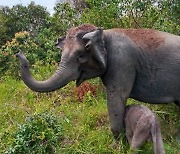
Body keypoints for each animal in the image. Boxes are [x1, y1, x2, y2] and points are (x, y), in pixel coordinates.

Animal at [16, 23, 180, 140]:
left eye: (81, 56)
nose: (18, 53)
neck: (103, 33)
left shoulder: (122, 62)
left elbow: (117, 98)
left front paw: (119, 144)